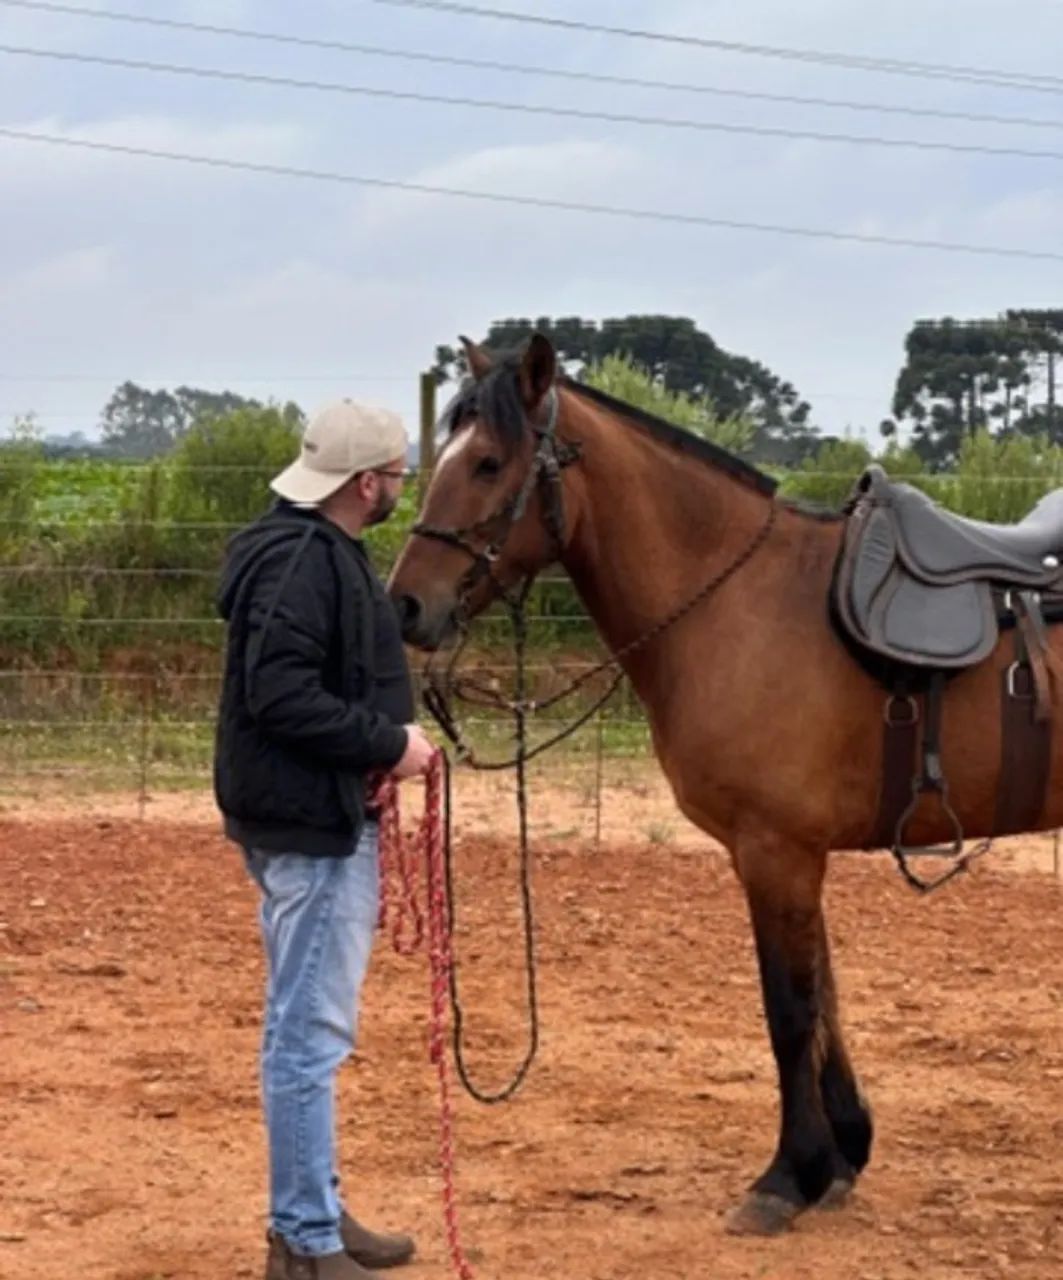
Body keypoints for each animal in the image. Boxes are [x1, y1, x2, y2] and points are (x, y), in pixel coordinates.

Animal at [386, 333, 1063, 1237]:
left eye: (489, 462)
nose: (404, 605)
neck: (738, 599)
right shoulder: (789, 855)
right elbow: (823, 1000)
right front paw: (841, 1154)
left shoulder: (775, 850)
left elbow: (790, 1011)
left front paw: (786, 1177)